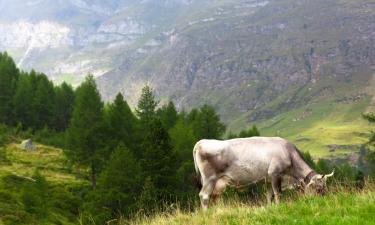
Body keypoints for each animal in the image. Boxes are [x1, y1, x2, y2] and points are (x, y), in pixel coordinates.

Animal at [194, 136, 334, 210]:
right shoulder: (275, 174)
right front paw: (278, 207)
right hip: (209, 178)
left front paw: (270, 208)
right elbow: (278, 193)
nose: (324, 202)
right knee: (204, 196)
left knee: (213, 197)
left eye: (325, 187)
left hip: (216, 182)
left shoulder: (267, 179)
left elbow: (269, 196)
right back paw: (207, 213)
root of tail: (201, 142)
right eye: (319, 188)